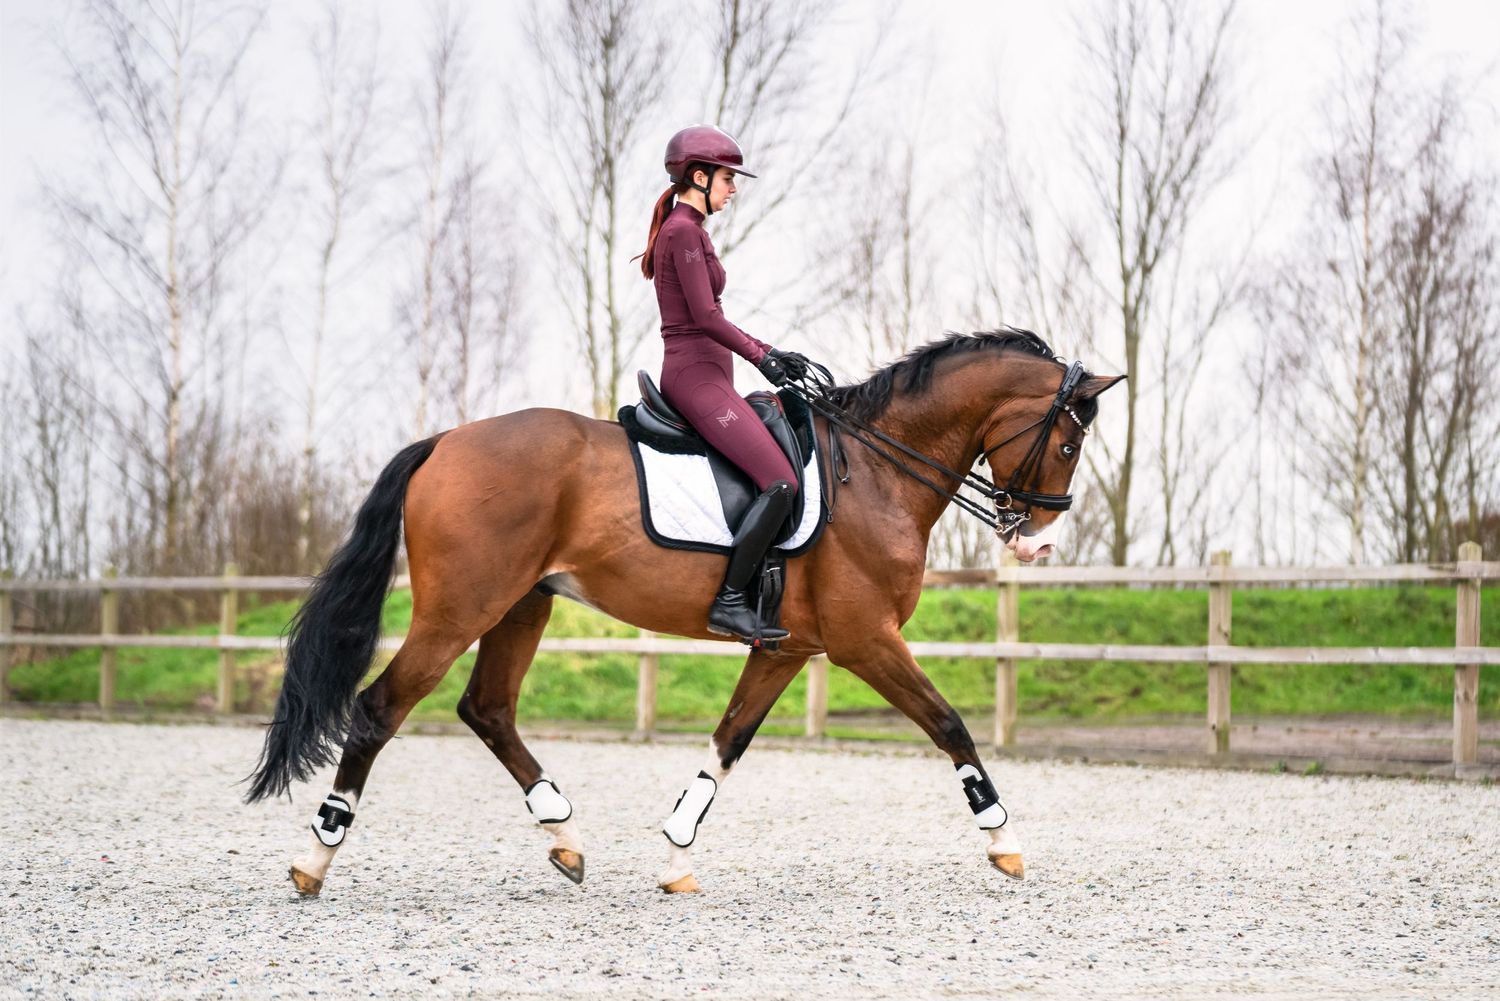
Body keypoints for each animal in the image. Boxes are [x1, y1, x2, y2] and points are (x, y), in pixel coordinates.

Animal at [246, 328, 1122, 896]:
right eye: (1069, 443)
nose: (1039, 541)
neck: (875, 468)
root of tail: (447, 440)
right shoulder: (864, 639)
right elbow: (950, 725)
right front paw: (1005, 841)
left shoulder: (787, 648)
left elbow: (728, 742)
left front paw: (675, 857)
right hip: (461, 606)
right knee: (379, 707)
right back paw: (315, 859)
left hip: (522, 604)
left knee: (487, 707)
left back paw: (564, 835)